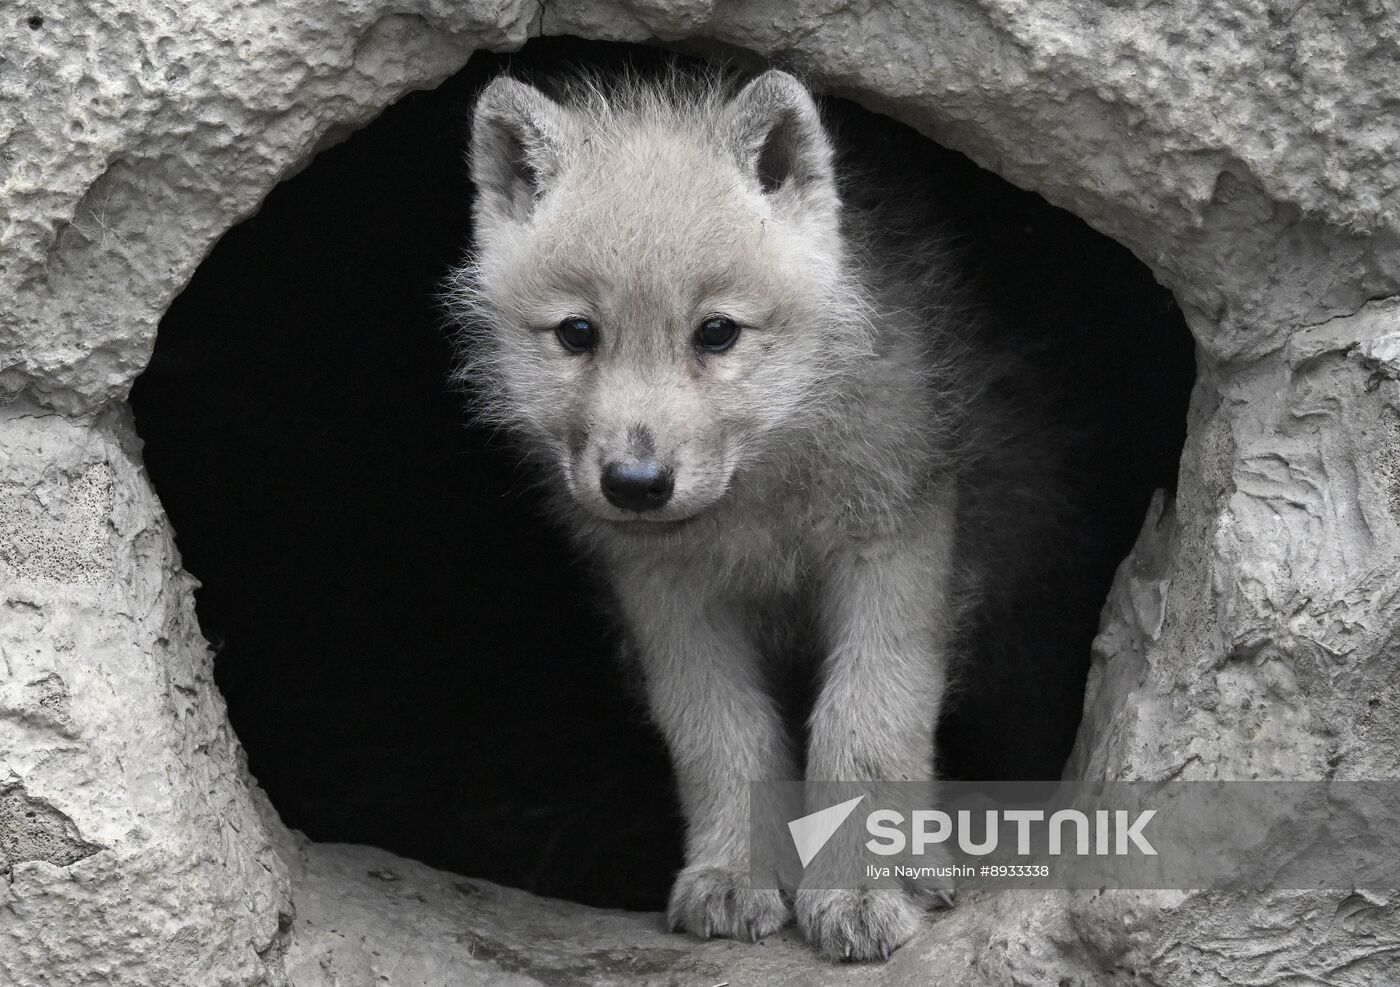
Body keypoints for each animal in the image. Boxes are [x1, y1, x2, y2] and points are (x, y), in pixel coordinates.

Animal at [449, 66, 1081, 960]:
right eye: (577, 332)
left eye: (717, 332)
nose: (635, 482)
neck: (762, 496)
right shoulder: (666, 595)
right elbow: (721, 736)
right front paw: (731, 876)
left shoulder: (895, 546)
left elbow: (865, 724)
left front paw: (862, 889)